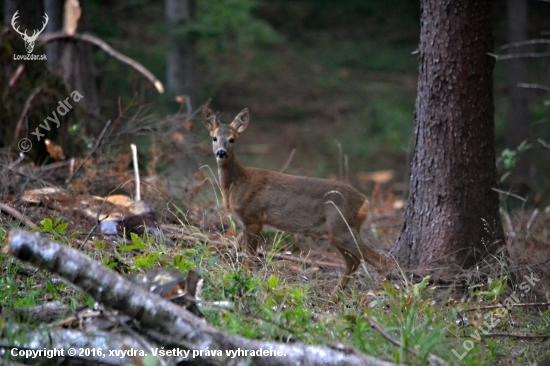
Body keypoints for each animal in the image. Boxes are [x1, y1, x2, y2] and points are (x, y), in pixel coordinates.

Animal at [204, 106, 392, 300]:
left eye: (232, 139)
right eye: (214, 138)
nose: (221, 153)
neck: (237, 183)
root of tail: (365, 202)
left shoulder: (254, 217)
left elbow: (250, 257)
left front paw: (246, 283)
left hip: (342, 227)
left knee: (379, 260)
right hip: (337, 231)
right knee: (354, 262)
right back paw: (331, 301)